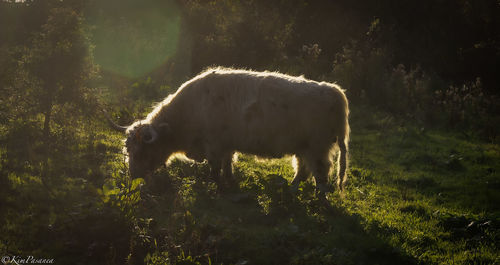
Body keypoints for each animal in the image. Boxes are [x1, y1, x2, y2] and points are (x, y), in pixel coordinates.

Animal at [115, 66, 350, 194]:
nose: (133, 175)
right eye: (128, 150)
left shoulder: (214, 146)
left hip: (317, 149)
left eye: (142, 151)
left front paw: (219, 188)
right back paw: (291, 190)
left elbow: (215, 170)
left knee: (321, 175)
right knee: (303, 171)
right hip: (303, 148)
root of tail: (333, 90)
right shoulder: (227, 145)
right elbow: (228, 166)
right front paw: (230, 183)